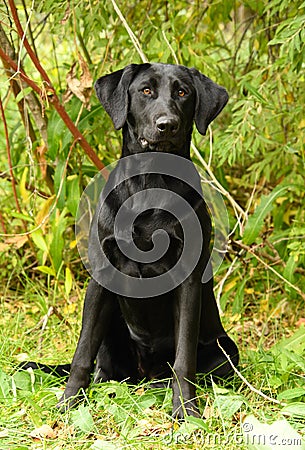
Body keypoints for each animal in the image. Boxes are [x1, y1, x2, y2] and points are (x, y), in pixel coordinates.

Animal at [24, 63, 238, 418]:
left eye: (183, 92)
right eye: (146, 91)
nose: (167, 124)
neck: (150, 181)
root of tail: (146, 376)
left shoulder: (188, 282)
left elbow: (184, 358)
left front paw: (186, 409)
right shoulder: (101, 277)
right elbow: (82, 353)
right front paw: (69, 402)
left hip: (224, 350)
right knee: (103, 368)